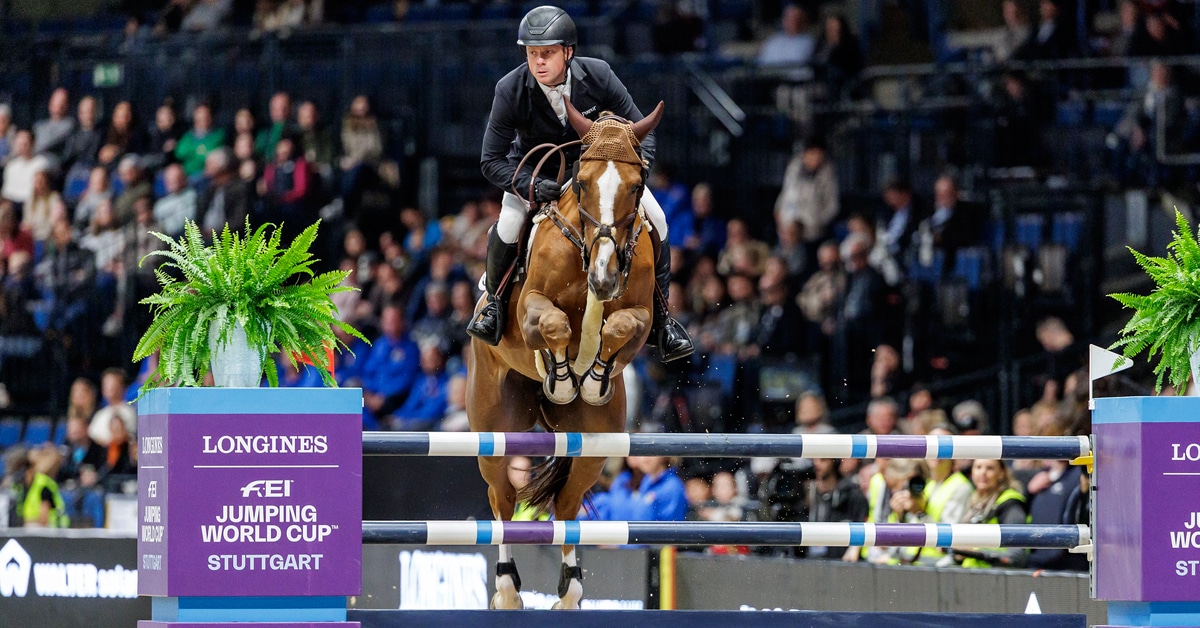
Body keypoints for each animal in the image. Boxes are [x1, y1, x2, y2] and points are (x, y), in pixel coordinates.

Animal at [466, 98, 664, 610]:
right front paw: (561, 376)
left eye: (636, 187)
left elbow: (619, 326)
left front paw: (591, 378)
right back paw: (506, 590)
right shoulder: (531, 309)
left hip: (595, 443)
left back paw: (570, 592)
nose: (604, 277)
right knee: (502, 500)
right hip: (495, 429)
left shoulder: (640, 318)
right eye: (581, 182)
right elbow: (553, 323)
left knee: (568, 505)